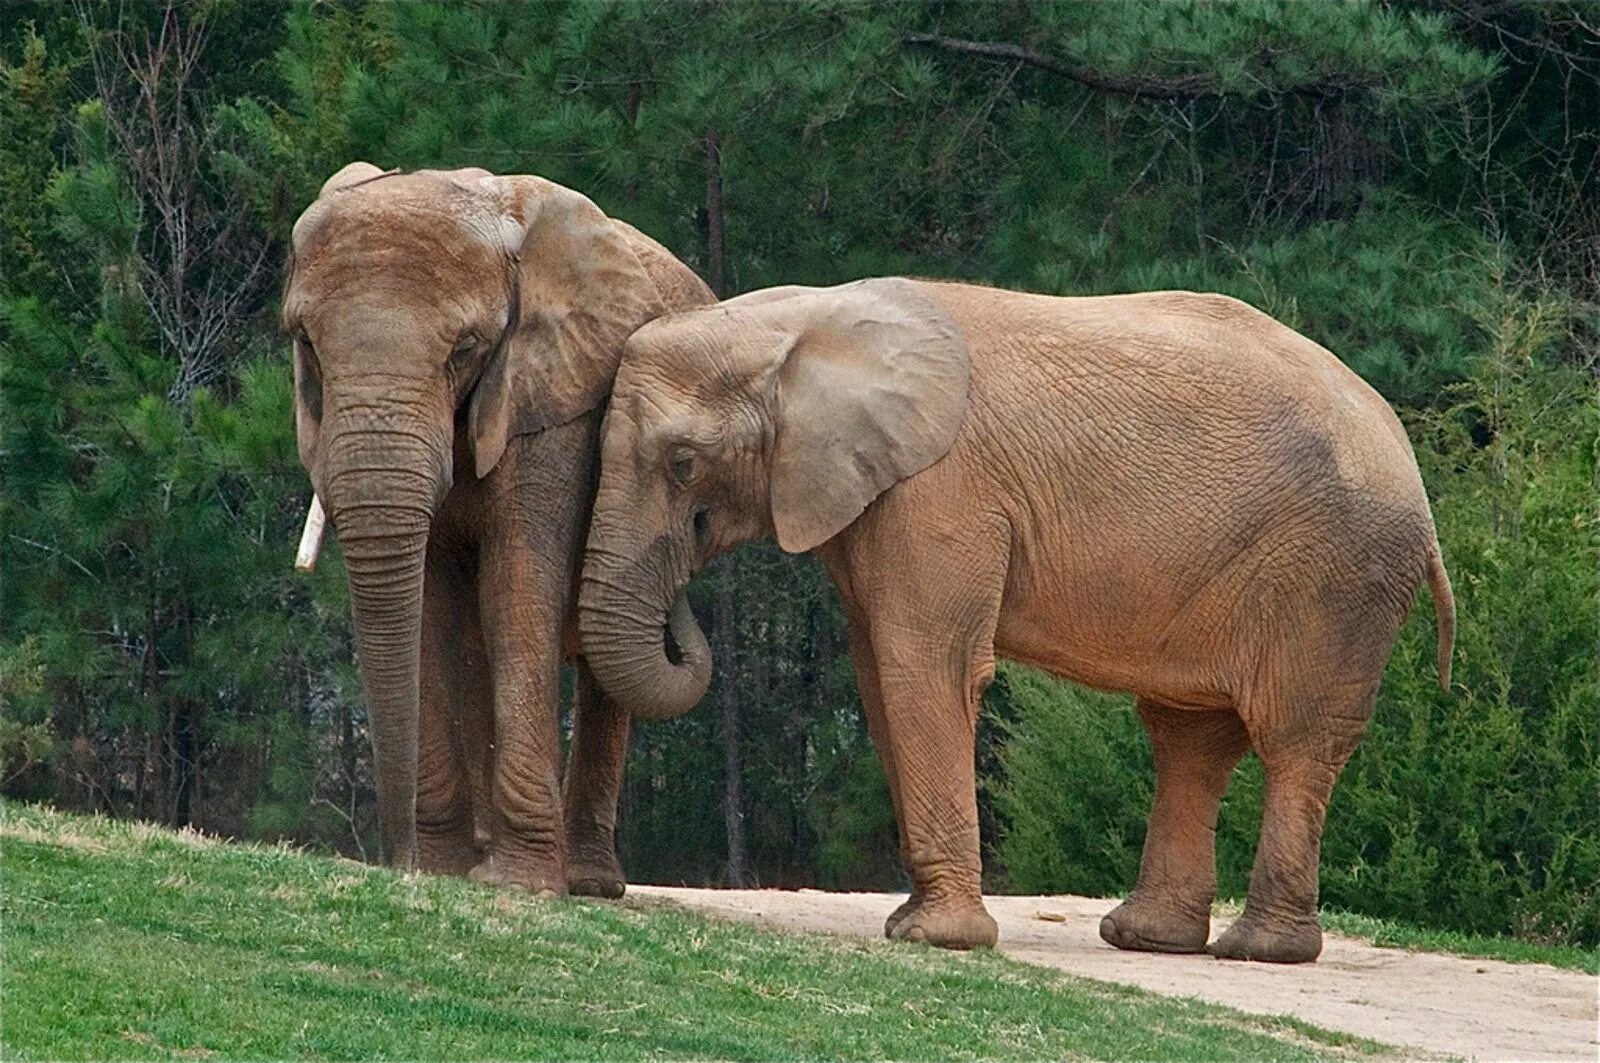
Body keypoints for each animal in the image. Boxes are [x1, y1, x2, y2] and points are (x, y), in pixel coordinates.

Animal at [281, 161, 713, 890]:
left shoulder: (557, 402)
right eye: (305, 342)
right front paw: (450, 867)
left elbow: (516, 588)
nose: (399, 863)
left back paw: (586, 881)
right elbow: (431, 599)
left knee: (605, 664)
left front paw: (520, 884)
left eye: (466, 348)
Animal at [582, 275, 1459, 960]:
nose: (685, 589)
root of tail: (1414, 474)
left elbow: (924, 664)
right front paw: (913, 923)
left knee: (1292, 739)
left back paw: (1261, 950)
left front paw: (934, 939)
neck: (807, 319)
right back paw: (1147, 938)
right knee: (1189, 738)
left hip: (1332, 577)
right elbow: (879, 672)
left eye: (683, 463)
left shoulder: (942, 491)